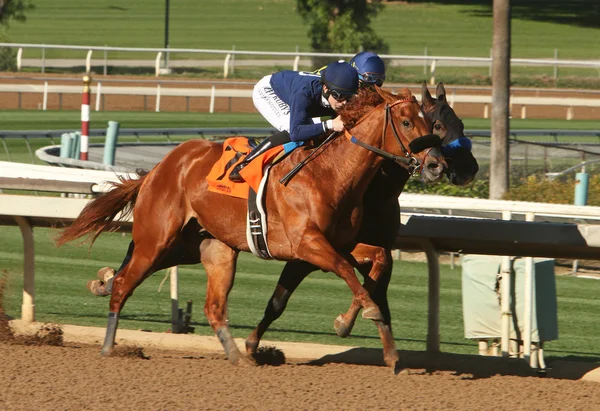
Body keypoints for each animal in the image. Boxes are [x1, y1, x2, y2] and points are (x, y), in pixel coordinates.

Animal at [57, 86, 446, 366]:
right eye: (408, 123)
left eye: (432, 124)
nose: (437, 165)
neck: (330, 175)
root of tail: (159, 168)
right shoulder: (307, 245)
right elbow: (347, 273)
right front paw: (364, 315)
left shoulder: (337, 243)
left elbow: (376, 260)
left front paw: (366, 333)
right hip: (158, 240)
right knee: (127, 282)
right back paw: (109, 345)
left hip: (202, 247)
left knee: (212, 307)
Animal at [244, 82, 478, 368]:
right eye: (438, 126)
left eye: (461, 123)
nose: (469, 169)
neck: (374, 192)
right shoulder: (305, 252)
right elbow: (279, 301)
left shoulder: (374, 249)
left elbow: (376, 292)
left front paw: (387, 351)